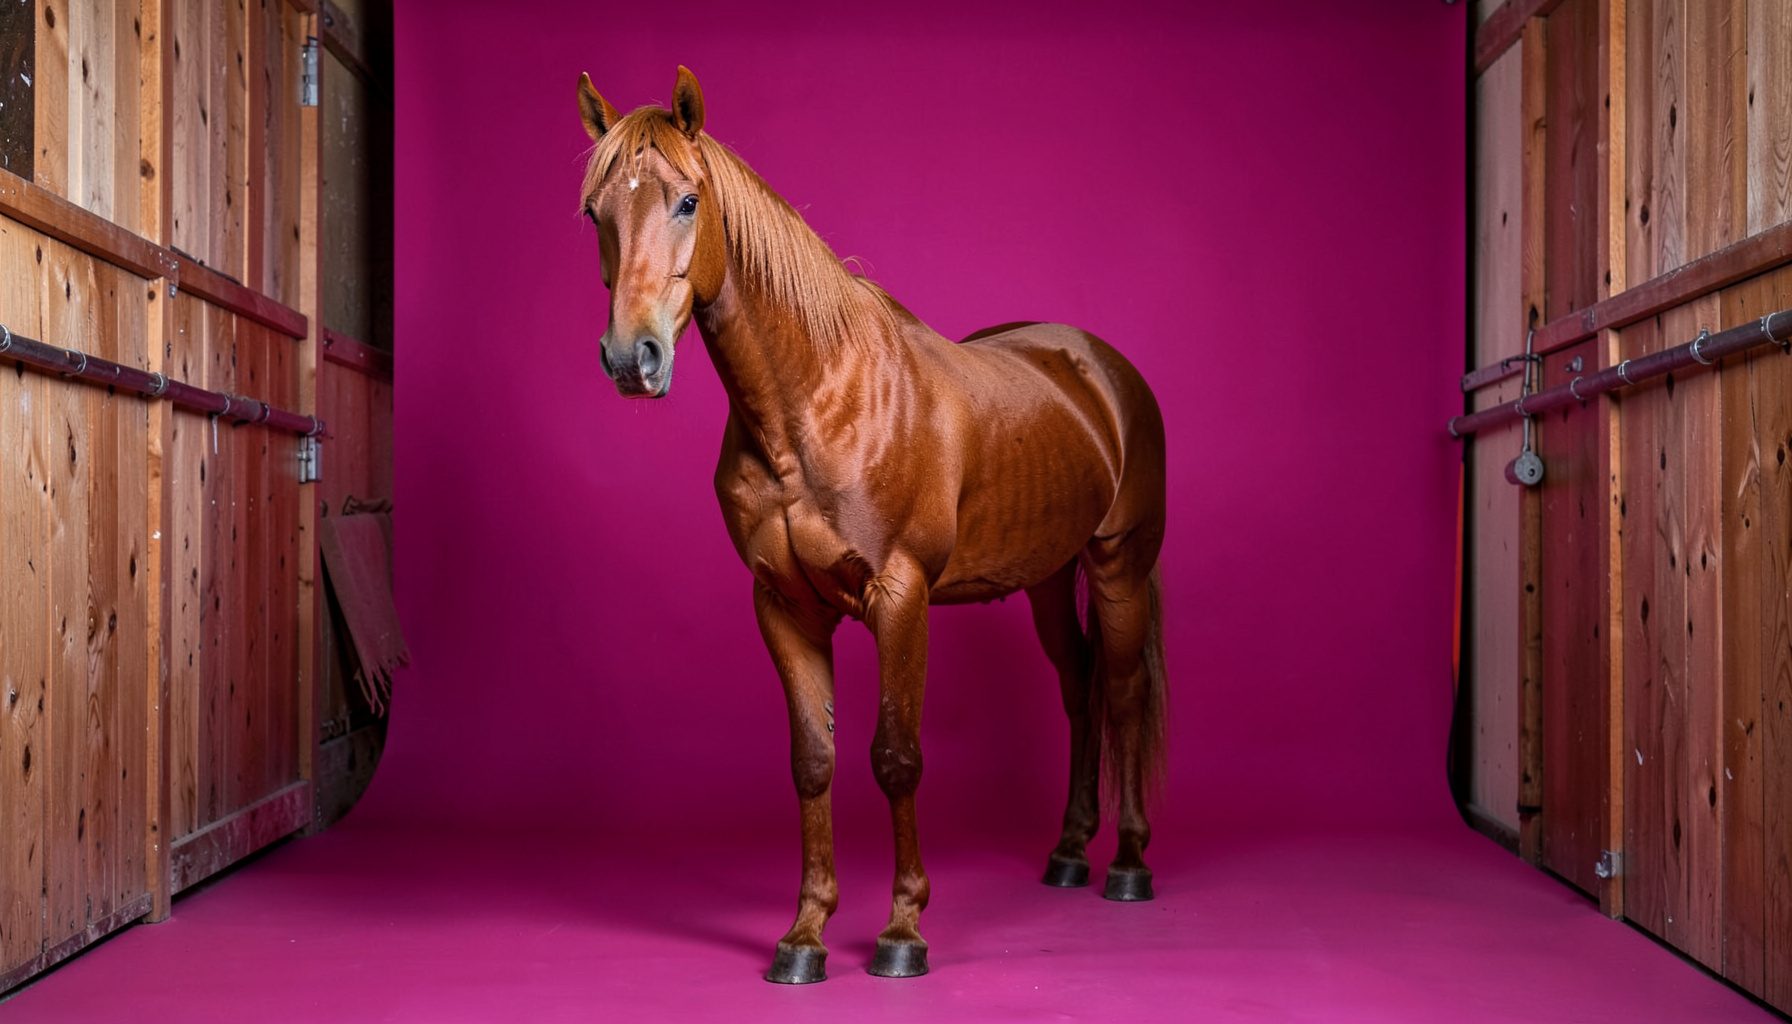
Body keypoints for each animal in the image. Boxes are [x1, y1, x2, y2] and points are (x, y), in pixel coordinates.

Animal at [573, 66, 1168, 984]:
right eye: (594, 212)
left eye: (687, 201)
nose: (630, 359)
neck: (813, 405)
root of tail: (1102, 368)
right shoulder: (783, 606)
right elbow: (813, 762)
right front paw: (805, 936)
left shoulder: (901, 597)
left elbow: (895, 756)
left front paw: (901, 931)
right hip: (1045, 580)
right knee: (1081, 688)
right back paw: (1069, 852)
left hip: (1118, 566)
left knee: (1128, 690)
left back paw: (1130, 864)